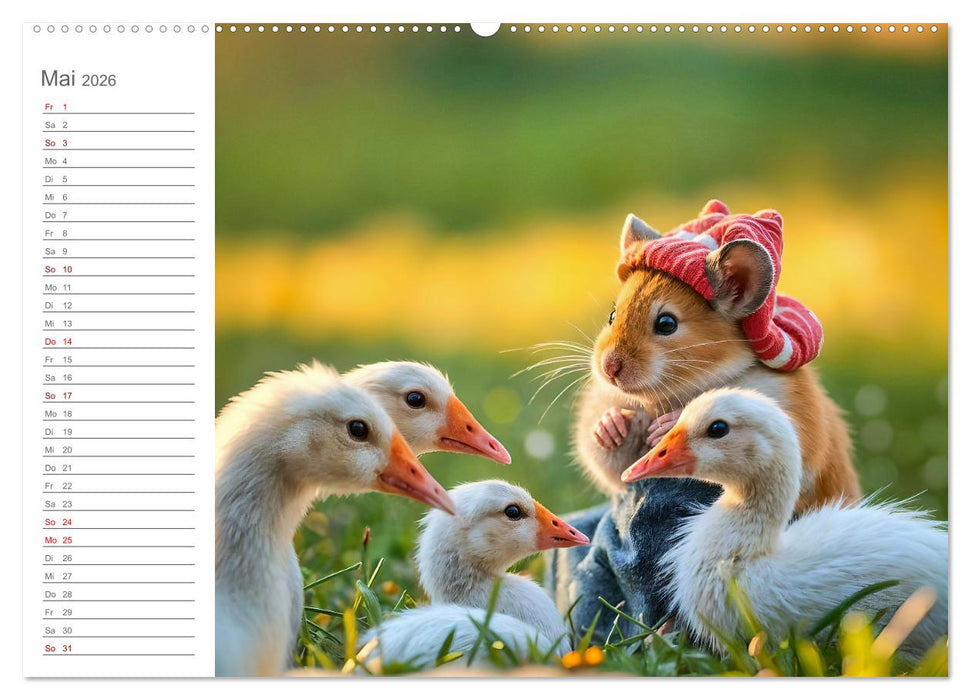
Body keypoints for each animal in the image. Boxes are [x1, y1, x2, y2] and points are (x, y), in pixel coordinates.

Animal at [572, 211, 860, 515]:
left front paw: (666, 425)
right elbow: (616, 465)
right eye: (612, 315)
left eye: (667, 323)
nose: (609, 368)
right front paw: (610, 426)